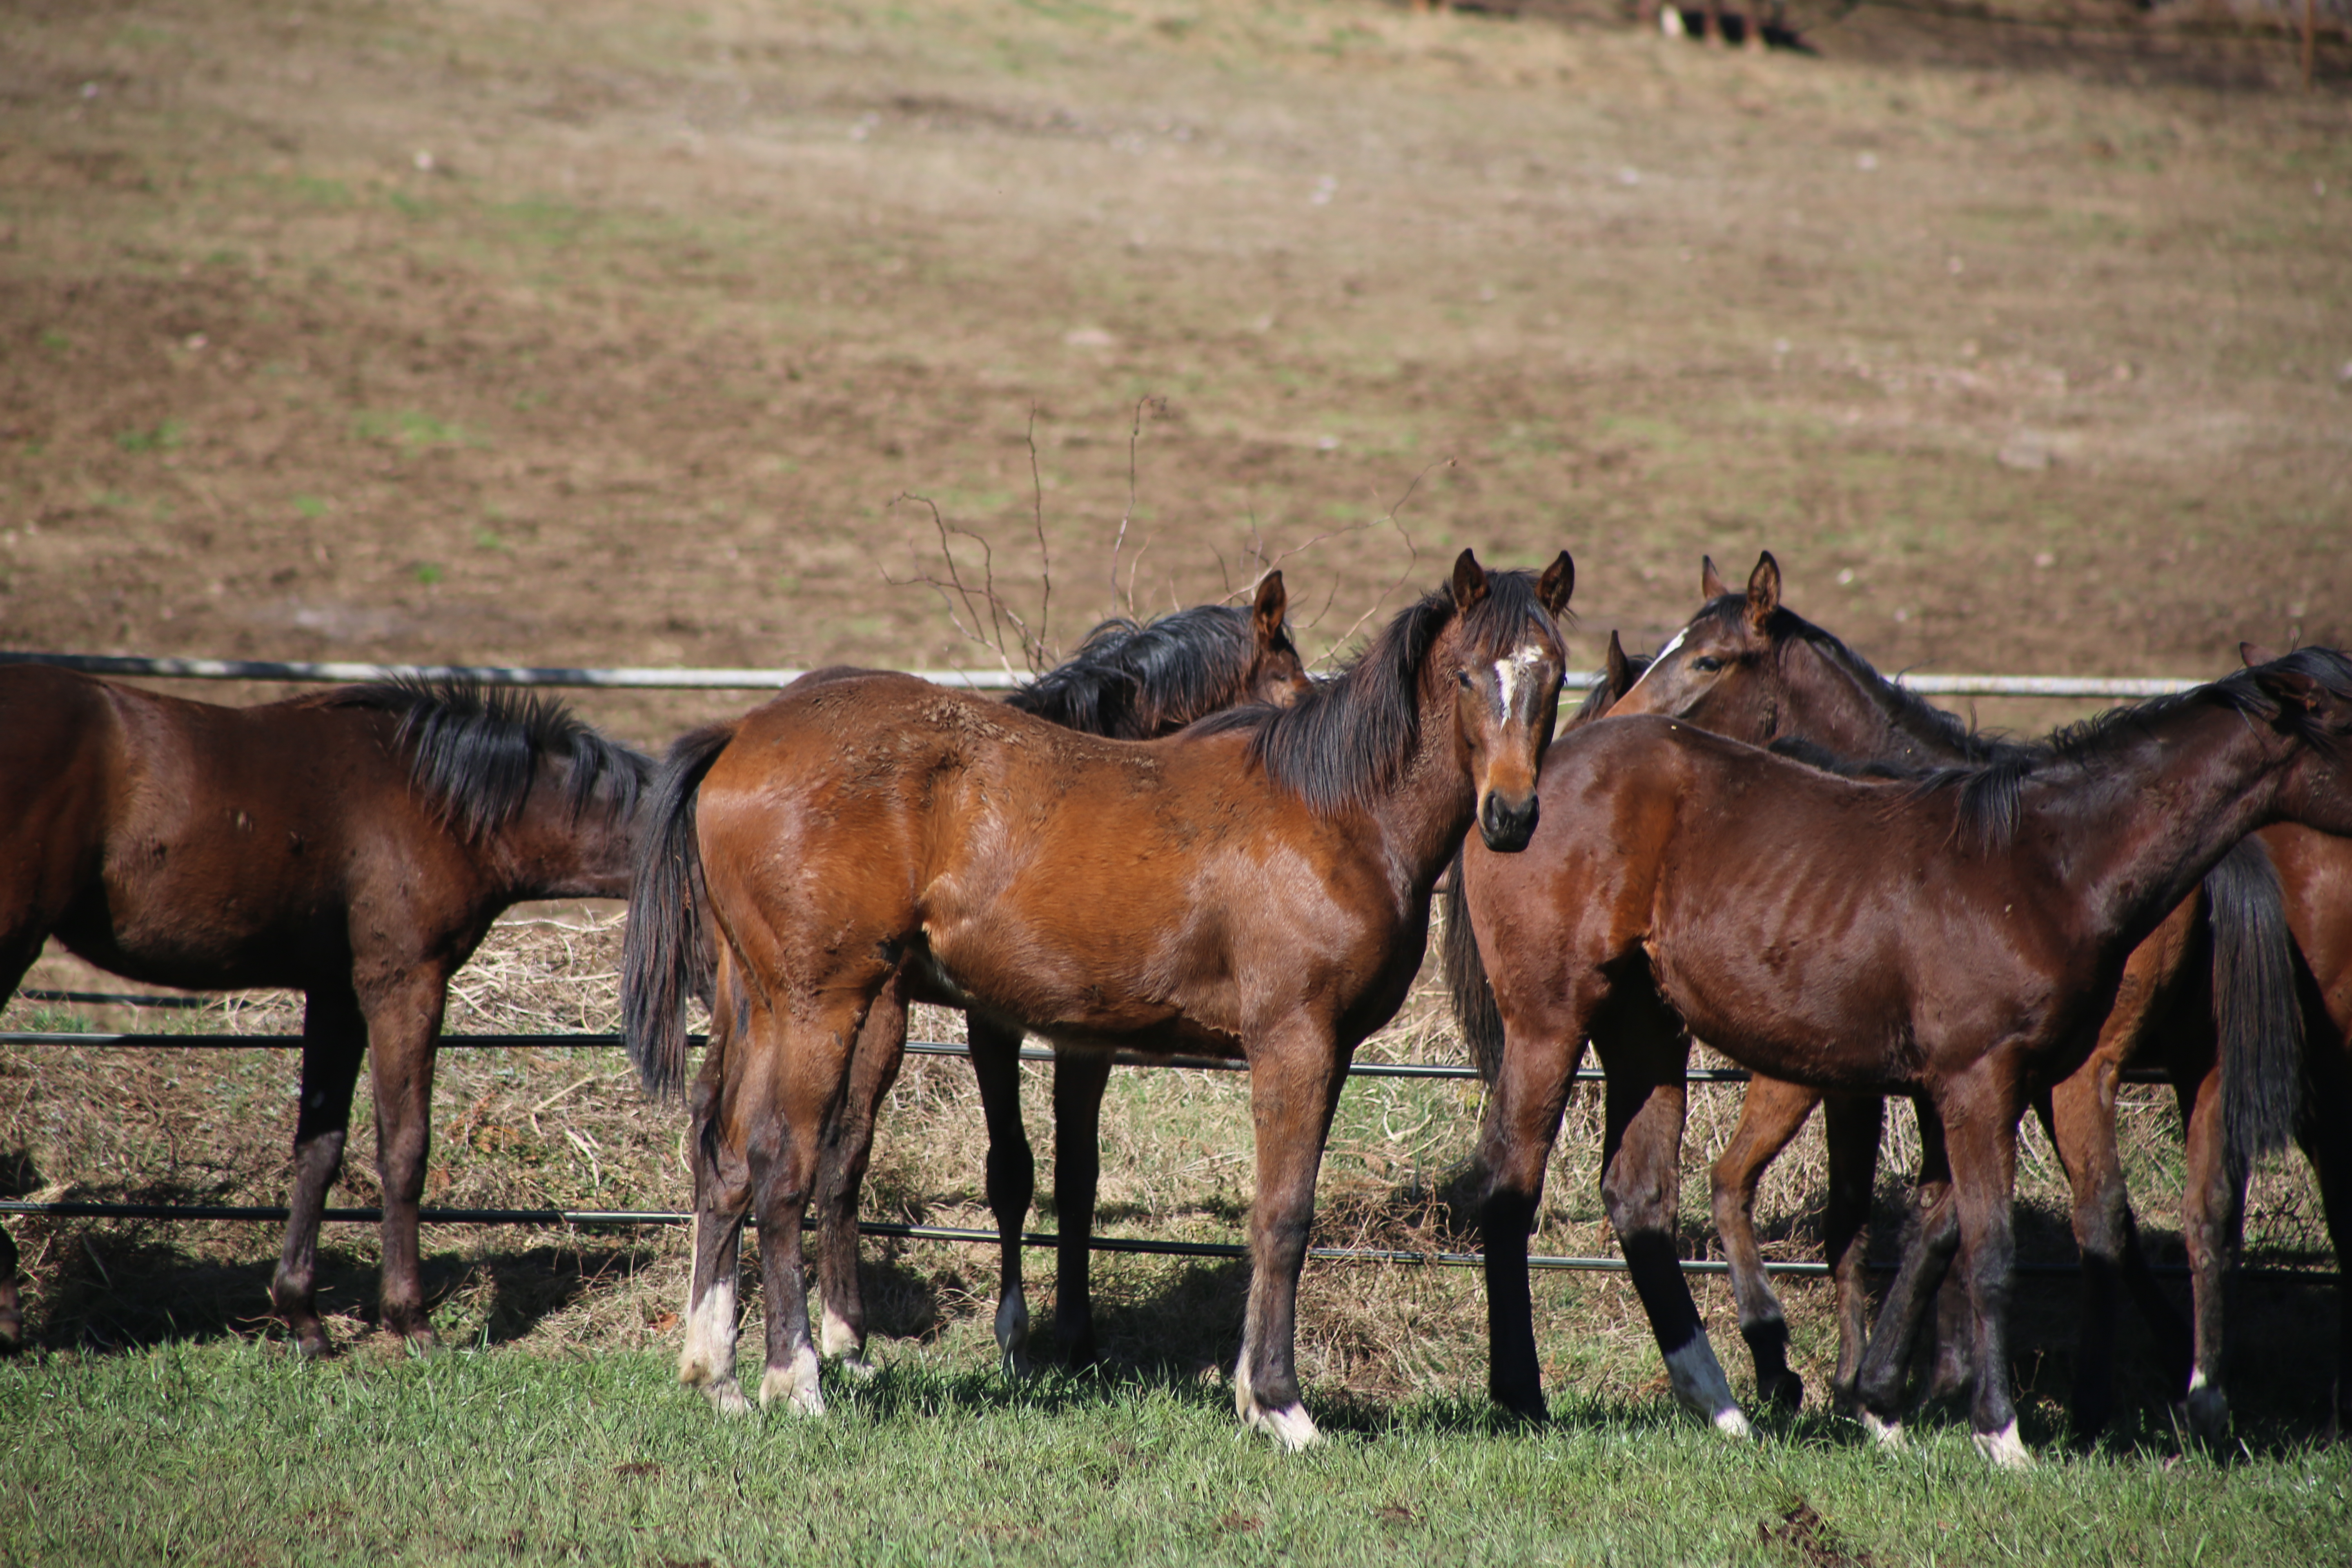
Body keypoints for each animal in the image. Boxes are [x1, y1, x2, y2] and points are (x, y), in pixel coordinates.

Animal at [0, 668, 649, 1354]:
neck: (446, 804)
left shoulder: (336, 993)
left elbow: (320, 1147)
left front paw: (303, 1316)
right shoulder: (403, 982)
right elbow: (405, 1147)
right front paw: (410, 1318)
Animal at [630, 555, 1561, 1448]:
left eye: (1551, 676)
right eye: (1468, 675)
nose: (1512, 816)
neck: (1335, 812)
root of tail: (743, 733)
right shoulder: (1295, 1043)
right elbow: (1282, 1217)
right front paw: (1277, 1403)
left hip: (763, 1004)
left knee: (725, 1160)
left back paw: (717, 1373)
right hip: (826, 1007)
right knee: (786, 1165)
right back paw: (800, 1378)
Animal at [1449, 644, 2352, 1467]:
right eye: (2342, 723)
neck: (2044, 863)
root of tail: (1516, 792)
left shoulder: (1988, 1085)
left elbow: (1935, 1232)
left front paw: (1884, 1405)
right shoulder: (1980, 1081)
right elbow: (1987, 1249)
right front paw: (1998, 1433)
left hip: (1646, 1030)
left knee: (1639, 1197)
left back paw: (1723, 1405)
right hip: (1550, 1023)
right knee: (1510, 1190)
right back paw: (1523, 1397)